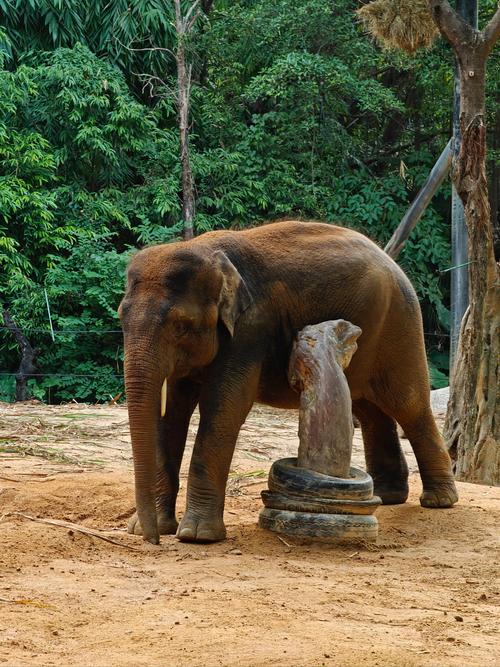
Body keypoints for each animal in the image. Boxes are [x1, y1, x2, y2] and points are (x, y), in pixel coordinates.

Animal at [119, 220, 458, 545]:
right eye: (121, 319)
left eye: (181, 325)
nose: (153, 541)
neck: (204, 250)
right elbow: (172, 414)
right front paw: (148, 529)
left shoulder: (250, 330)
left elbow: (223, 408)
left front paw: (196, 536)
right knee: (369, 407)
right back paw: (388, 496)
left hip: (401, 324)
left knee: (409, 405)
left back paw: (438, 500)